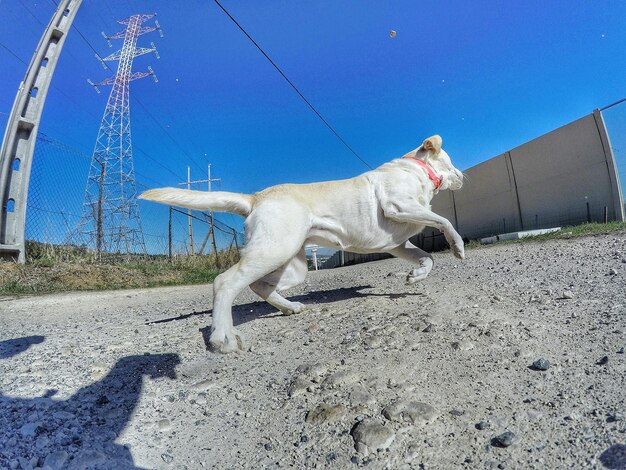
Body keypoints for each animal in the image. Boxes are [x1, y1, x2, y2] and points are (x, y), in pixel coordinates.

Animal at [141, 136, 464, 352]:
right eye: (451, 163)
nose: (463, 176)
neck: (416, 169)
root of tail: (256, 197)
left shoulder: (397, 244)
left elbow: (428, 257)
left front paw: (416, 276)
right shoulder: (399, 206)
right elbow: (444, 221)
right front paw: (457, 245)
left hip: (292, 265)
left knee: (259, 286)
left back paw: (289, 308)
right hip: (274, 250)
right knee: (225, 282)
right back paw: (223, 337)